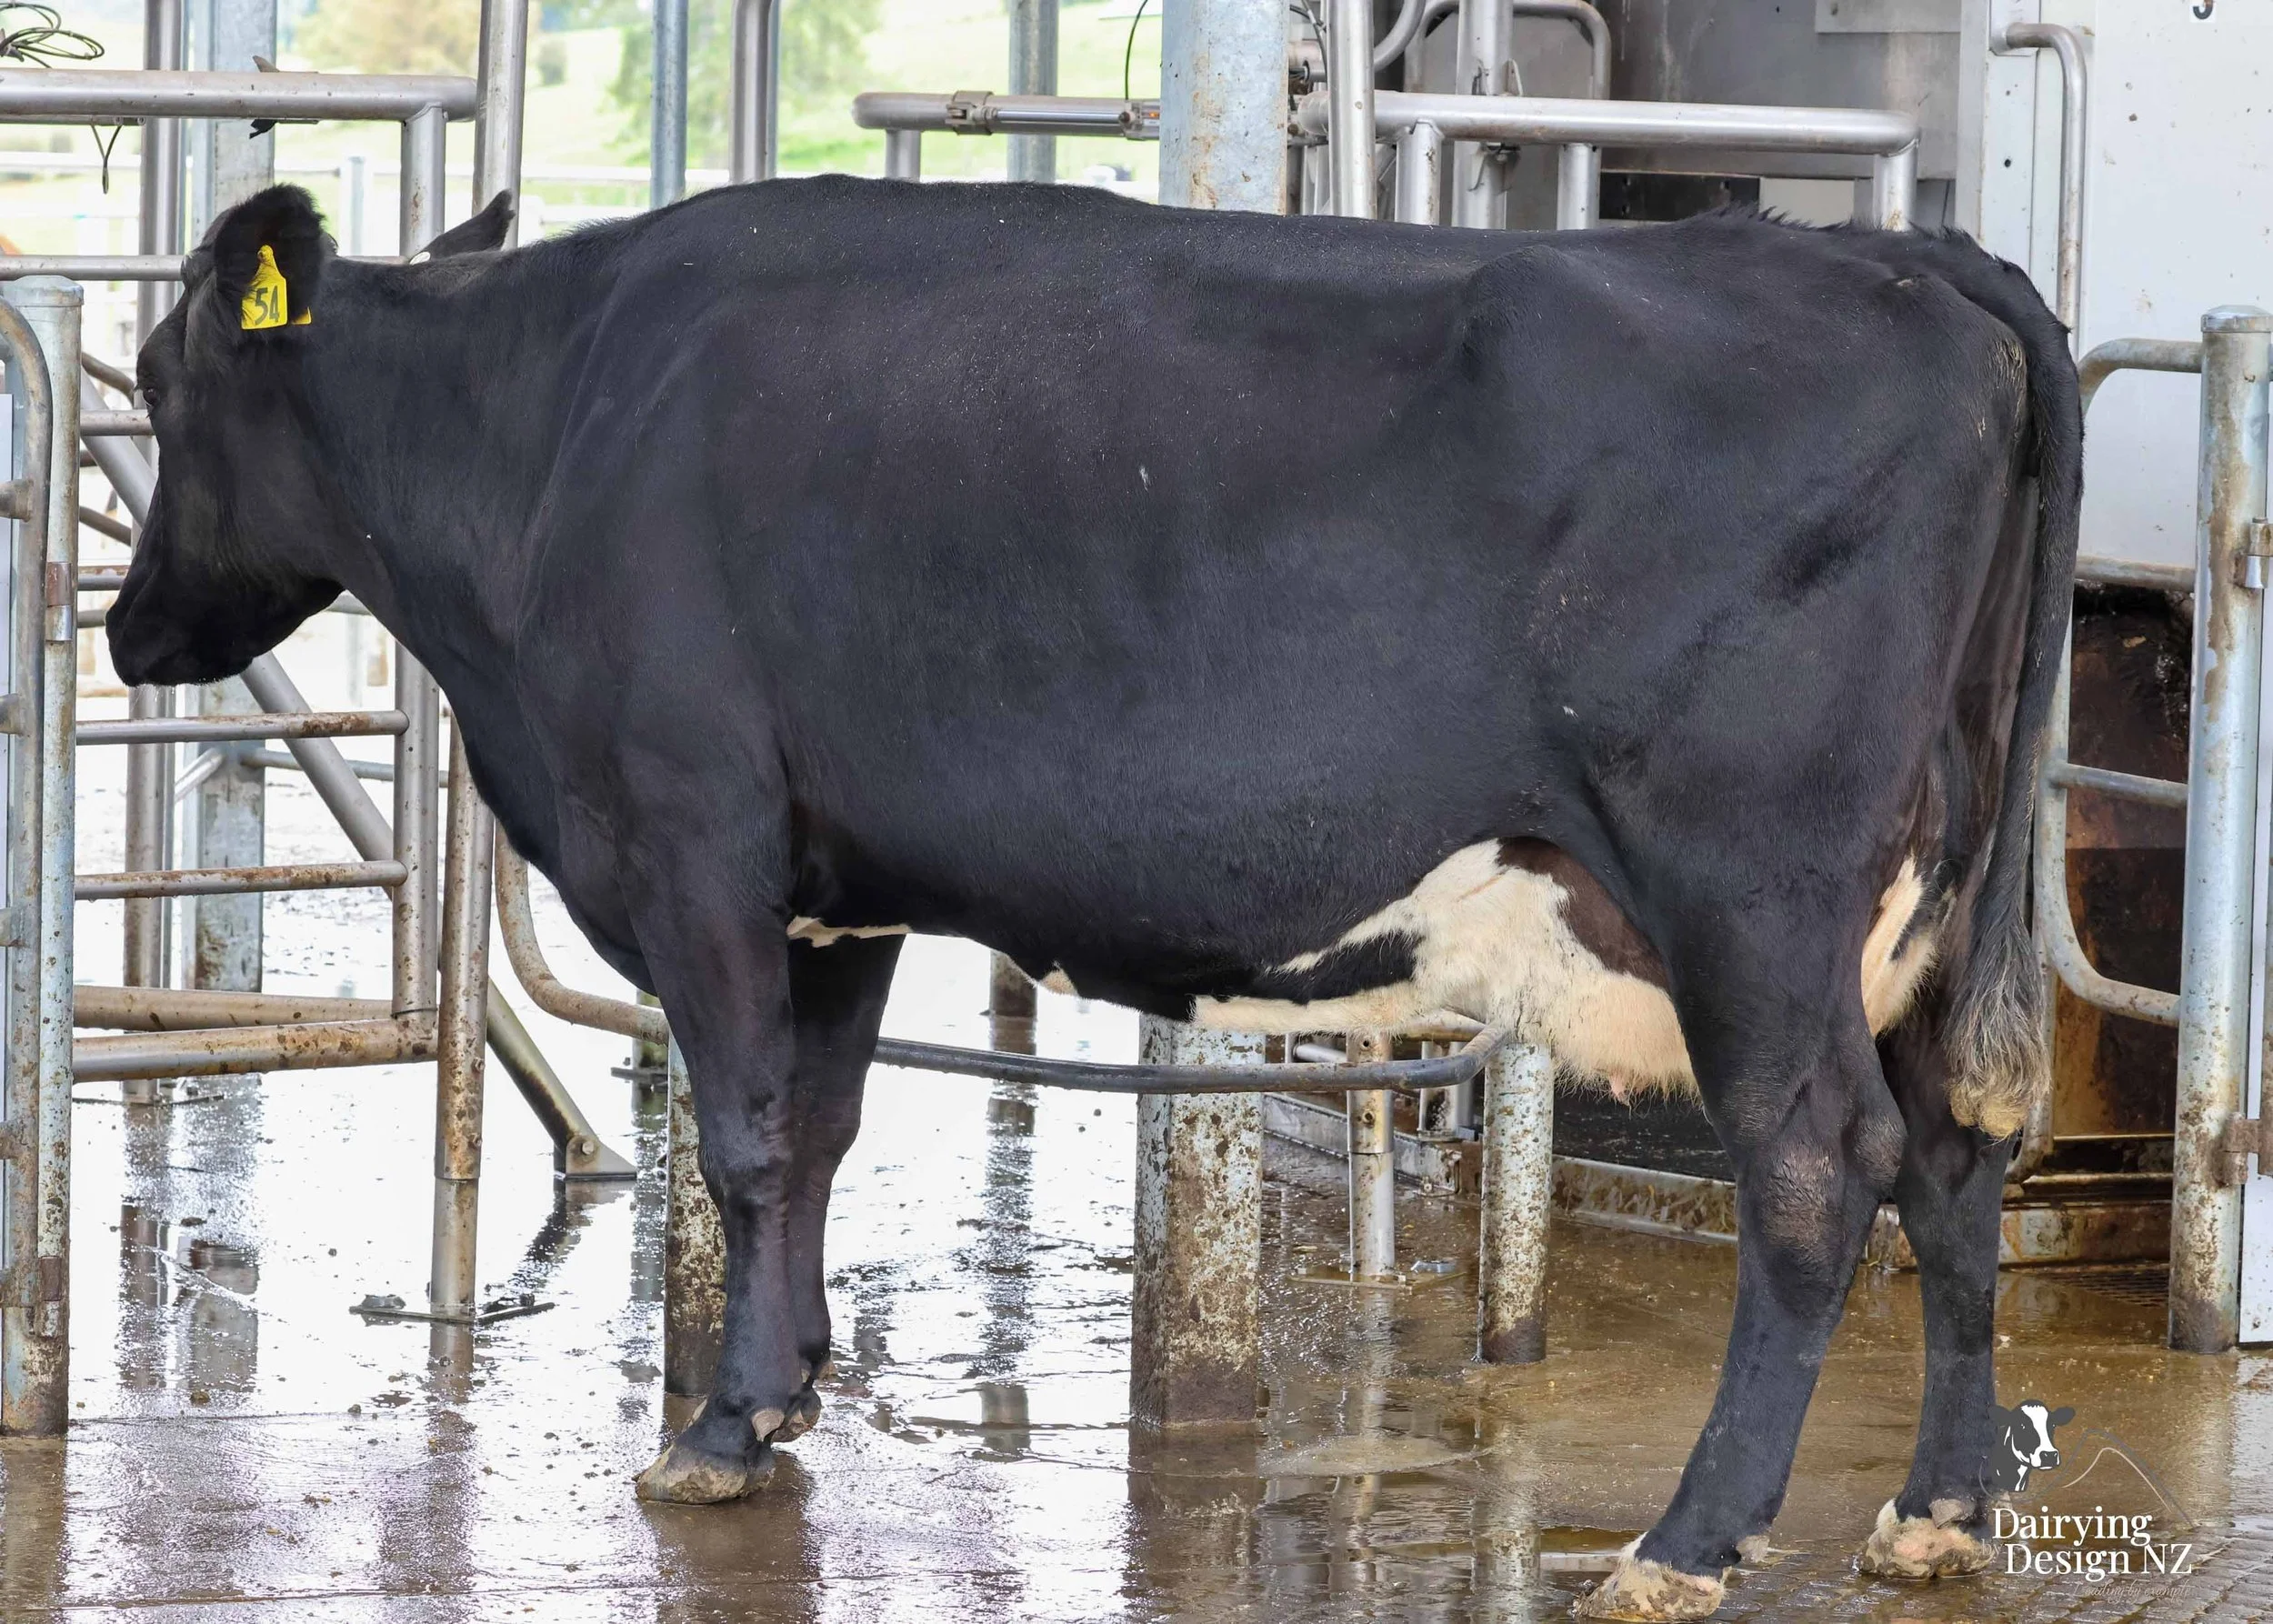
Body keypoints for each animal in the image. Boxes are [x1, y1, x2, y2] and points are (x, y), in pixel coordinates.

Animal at [107, 176, 2079, 1621]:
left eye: (156, 377)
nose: (126, 633)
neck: (545, 432)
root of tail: (1899, 254)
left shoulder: (692, 839)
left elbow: (739, 1136)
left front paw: (719, 1425)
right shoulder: (836, 880)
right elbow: (816, 1128)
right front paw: (788, 1384)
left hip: (1750, 887)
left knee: (1819, 1164)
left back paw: (1687, 1539)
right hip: (1920, 900)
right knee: (1955, 1151)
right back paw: (1939, 1507)